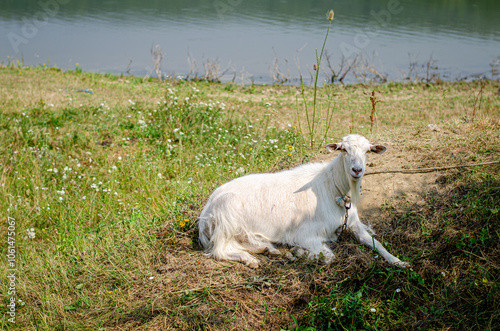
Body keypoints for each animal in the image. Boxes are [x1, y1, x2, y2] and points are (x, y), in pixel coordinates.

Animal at [199, 135, 410, 270]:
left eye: (368, 151)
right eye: (343, 149)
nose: (357, 170)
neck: (333, 189)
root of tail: (205, 213)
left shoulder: (354, 224)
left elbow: (377, 243)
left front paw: (399, 262)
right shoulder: (305, 233)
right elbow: (329, 257)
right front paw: (299, 252)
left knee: (238, 242)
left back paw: (266, 250)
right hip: (227, 213)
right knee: (219, 250)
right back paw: (251, 259)